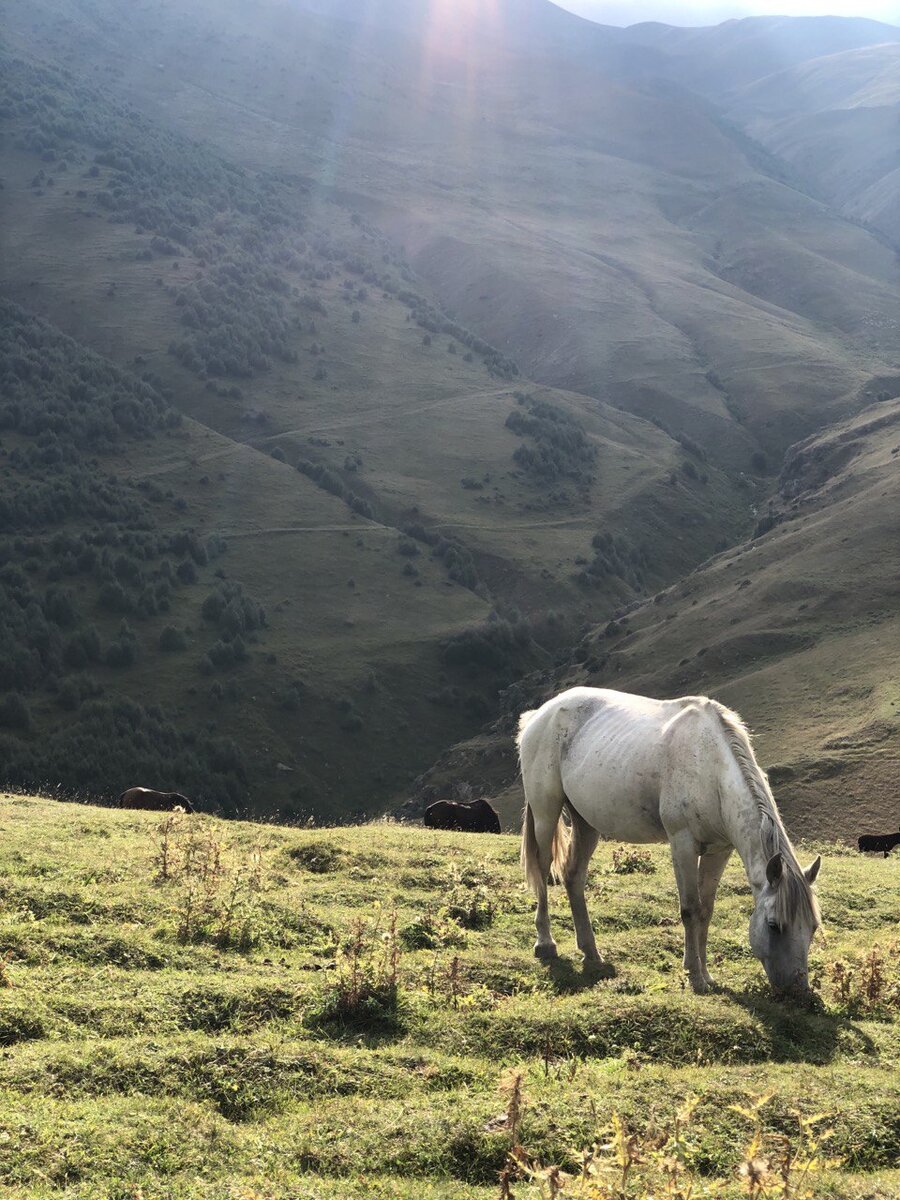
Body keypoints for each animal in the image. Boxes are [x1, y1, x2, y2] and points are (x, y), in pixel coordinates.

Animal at [520, 691, 825, 998]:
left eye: (812, 926)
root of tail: (540, 713)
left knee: (573, 877)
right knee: (543, 870)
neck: (711, 767)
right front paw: (695, 976)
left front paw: (706, 974)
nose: (799, 990)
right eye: (774, 925)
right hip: (546, 813)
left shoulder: (719, 850)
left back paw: (591, 952)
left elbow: (706, 910)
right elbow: (690, 908)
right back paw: (545, 943)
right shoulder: (683, 843)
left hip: (586, 823)